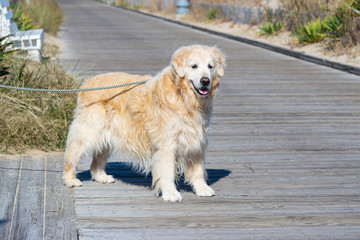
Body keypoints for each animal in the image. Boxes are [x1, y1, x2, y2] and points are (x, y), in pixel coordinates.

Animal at [62, 45, 225, 202]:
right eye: (194, 66)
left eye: (210, 66)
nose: (205, 81)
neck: (183, 96)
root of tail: (88, 82)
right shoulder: (167, 144)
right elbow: (167, 172)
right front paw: (170, 193)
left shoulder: (197, 140)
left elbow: (198, 170)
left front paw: (202, 189)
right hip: (88, 132)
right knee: (71, 156)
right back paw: (71, 180)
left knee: (97, 158)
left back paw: (101, 176)